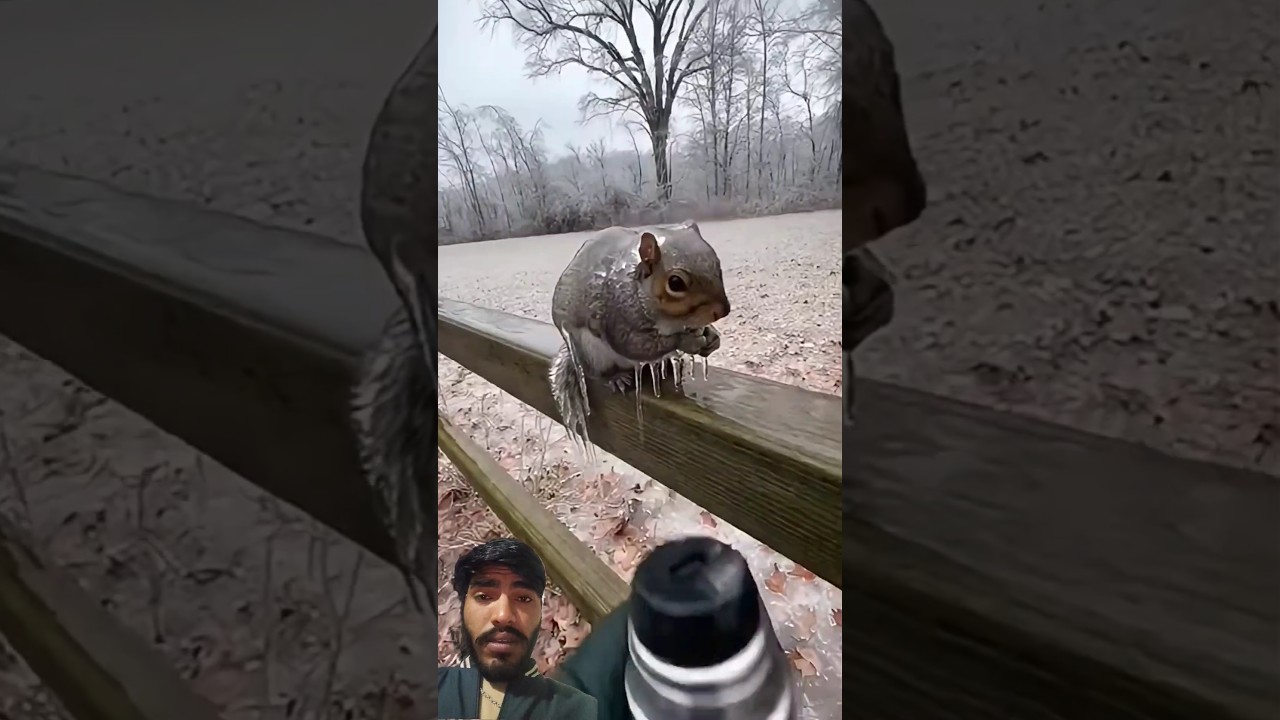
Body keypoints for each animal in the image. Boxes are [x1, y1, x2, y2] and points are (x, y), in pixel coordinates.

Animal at [549, 220, 731, 443]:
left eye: (717, 264)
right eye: (675, 283)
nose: (724, 310)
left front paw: (712, 338)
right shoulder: (617, 313)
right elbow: (633, 344)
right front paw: (687, 342)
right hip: (590, 351)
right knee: (598, 371)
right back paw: (616, 377)